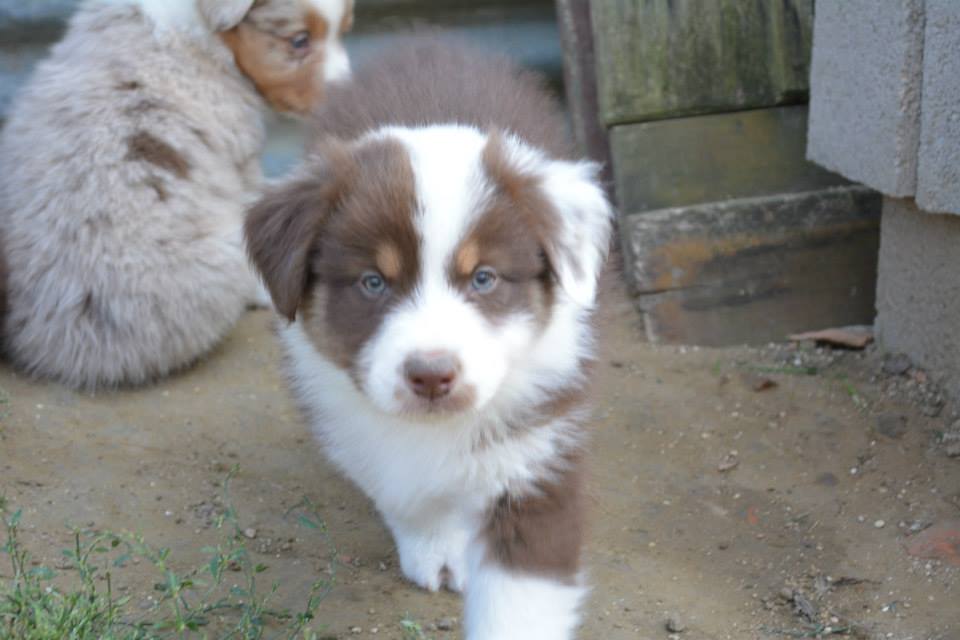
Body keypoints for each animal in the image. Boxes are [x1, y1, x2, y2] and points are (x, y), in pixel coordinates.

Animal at [246, 38, 614, 639]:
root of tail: (425, 42)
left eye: (484, 278)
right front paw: (438, 549)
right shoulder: (349, 415)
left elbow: (519, 600)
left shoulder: (536, 451)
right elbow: (404, 486)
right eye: (373, 282)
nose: (432, 375)